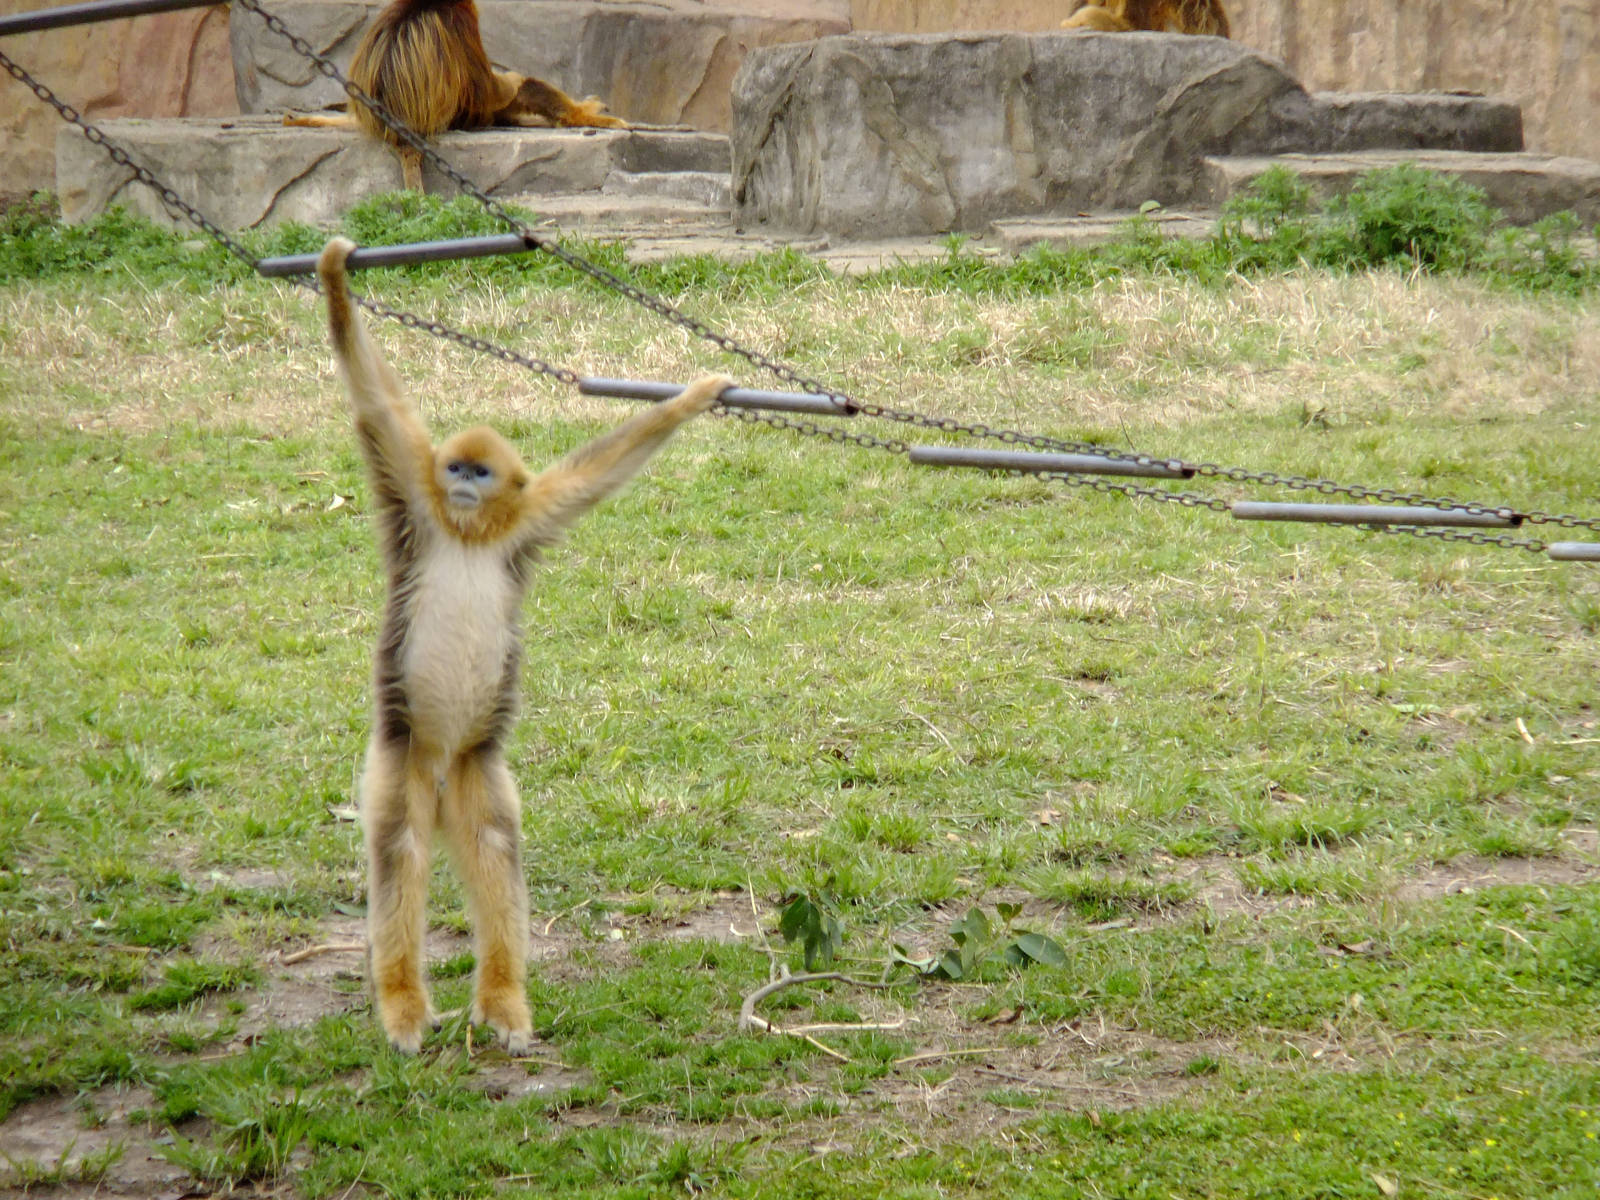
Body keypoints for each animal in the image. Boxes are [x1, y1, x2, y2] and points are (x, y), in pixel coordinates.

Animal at [285, 0, 626, 191]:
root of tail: (399, 130)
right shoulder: (460, 17)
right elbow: (493, 87)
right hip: (459, 115)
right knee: (509, 90)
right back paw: (578, 115)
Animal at [316, 235, 731, 1052]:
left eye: (481, 471)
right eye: (455, 468)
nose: (464, 483)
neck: (472, 532)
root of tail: (443, 765)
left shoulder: (528, 517)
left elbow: (595, 472)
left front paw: (689, 399)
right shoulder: (414, 491)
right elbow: (376, 403)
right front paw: (336, 279)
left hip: (477, 770)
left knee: (494, 848)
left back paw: (502, 999)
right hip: (403, 759)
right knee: (401, 850)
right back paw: (404, 1002)